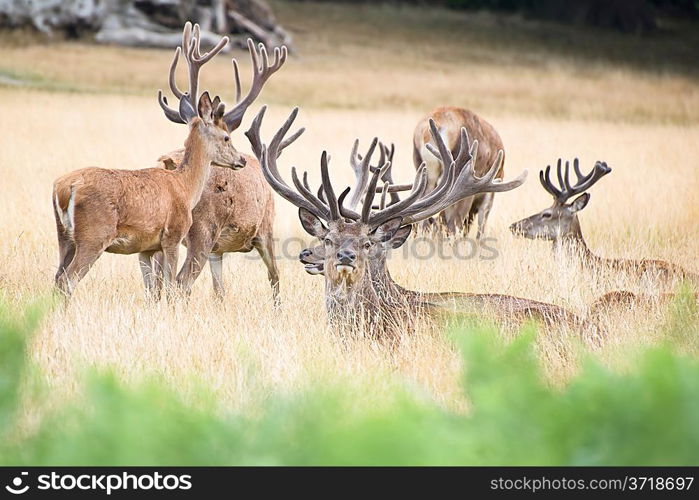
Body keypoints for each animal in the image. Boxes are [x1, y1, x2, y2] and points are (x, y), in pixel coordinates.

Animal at [52, 23, 243, 296]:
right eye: (227, 137)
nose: (242, 160)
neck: (185, 188)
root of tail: (65, 188)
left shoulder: (146, 247)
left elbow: (153, 289)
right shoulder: (173, 235)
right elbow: (171, 286)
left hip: (63, 236)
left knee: (56, 278)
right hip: (94, 234)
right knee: (68, 280)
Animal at [154, 34, 292, 304]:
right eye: (226, 136)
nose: (240, 160)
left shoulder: (217, 251)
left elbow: (219, 289)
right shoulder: (265, 227)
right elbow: (275, 276)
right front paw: (278, 309)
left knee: (155, 282)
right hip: (203, 229)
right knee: (181, 282)